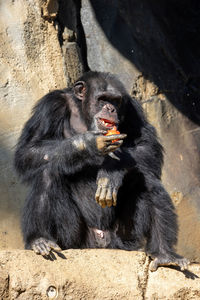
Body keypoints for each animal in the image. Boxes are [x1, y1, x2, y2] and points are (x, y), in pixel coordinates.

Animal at [15, 71, 189, 272]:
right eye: (102, 99)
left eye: (115, 101)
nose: (110, 108)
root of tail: (101, 243)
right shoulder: (51, 105)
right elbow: (29, 150)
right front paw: (87, 143)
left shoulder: (133, 109)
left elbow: (147, 145)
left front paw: (111, 171)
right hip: (75, 239)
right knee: (48, 173)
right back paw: (40, 239)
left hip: (124, 239)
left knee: (146, 180)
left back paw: (164, 253)